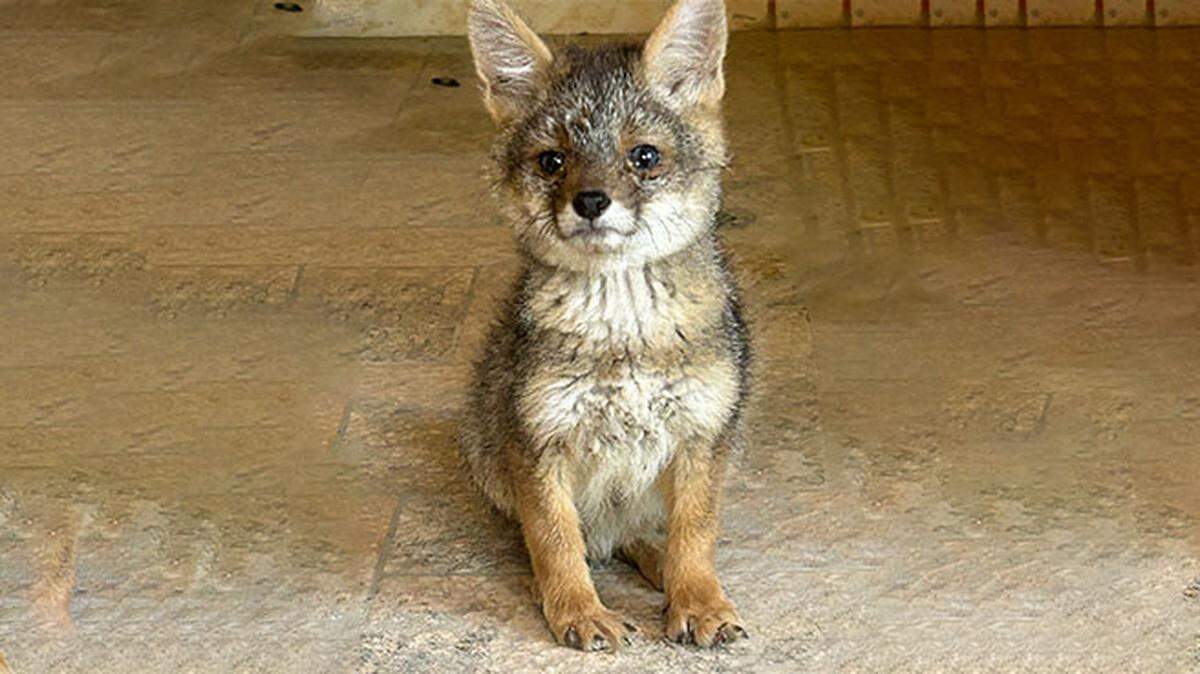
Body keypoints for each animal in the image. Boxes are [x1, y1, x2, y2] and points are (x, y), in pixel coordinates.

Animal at [459, 0, 750, 652]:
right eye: (553, 161)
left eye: (644, 157)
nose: (591, 201)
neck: (624, 337)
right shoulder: (537, 441)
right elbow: (555, 540)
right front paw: (577, 609)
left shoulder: (702, 435)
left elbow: (695, 535)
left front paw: (698, 599)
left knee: (638, 537)